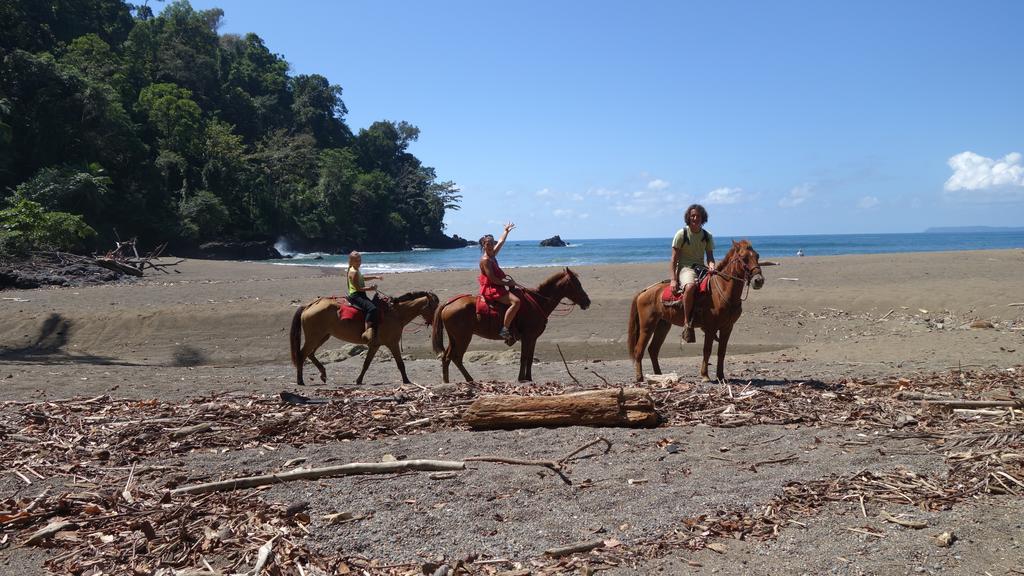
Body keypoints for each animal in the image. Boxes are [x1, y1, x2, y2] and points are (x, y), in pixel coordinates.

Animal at [288, 291, 440, 385]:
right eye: (434, 306)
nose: (436, 321)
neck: (395, 314)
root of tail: (308, 305)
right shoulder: (392, 343)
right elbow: (400, 364)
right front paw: (406, 380)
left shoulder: (375, 345)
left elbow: (366, 364)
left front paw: (359, 380)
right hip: (314, 337)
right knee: (302, 354)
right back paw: (300, 380)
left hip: (323, 336)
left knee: (310, 354)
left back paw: (323, 374)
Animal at [432, 266, 593, 381]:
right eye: (577, 284)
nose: (587, 302)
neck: (537, 301)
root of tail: (448, 303)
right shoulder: (528, 337)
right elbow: (524, 358)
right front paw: (521, 378)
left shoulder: (532, 338)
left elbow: (529, 358)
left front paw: (528, 378)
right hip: (463, 338)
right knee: (456, 358)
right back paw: (469, 379)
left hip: (454, 338)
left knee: (447, 358)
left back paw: (447, 382)